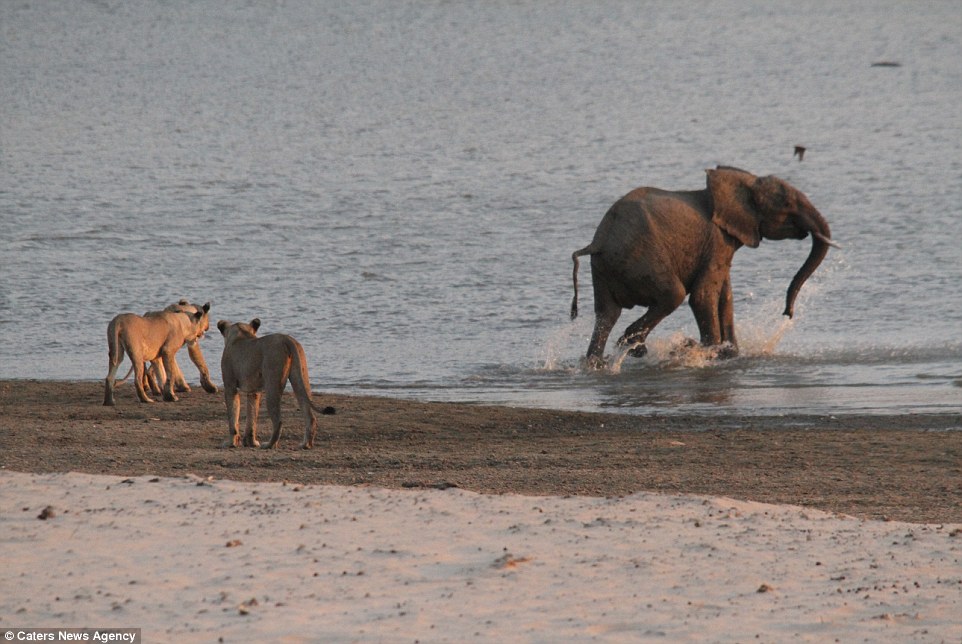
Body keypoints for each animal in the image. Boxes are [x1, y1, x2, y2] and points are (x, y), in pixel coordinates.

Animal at [570, 166, 837, 367]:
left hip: (604, 269)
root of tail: (598, 241)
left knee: (606, 313)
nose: (787, 313)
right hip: (640, 259)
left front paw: (730, 354)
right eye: (787, 204)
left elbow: (725, 297)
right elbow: (703, 296)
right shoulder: (717, 241)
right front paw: (710, 353)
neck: (741, 182)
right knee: (672, 295)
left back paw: (597, 363)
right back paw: (632, 347)